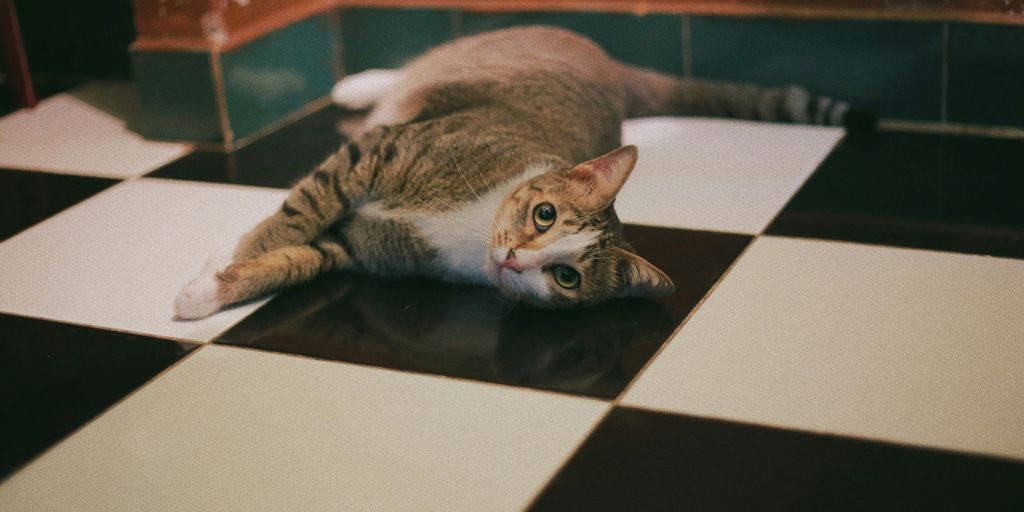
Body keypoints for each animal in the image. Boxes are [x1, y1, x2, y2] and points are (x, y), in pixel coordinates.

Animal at [174, 25, 872, 319]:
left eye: (566, 277)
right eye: (544, 214)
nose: (514, 258)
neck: (473, 229)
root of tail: (614, 71)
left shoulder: (361, 248)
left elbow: (301, 258)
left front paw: (207, 291)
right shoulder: (377, 153)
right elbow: (297, 211)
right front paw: (236, 249)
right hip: (474, 51)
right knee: (412, 70)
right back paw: (357, 83)